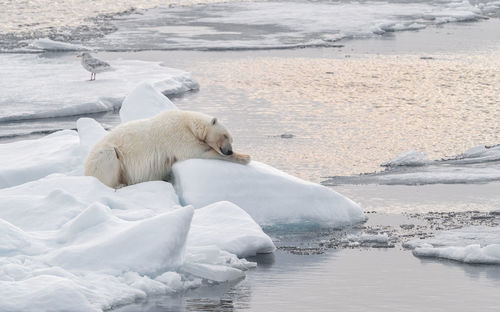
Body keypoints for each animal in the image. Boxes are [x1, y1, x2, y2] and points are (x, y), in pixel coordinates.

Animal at [85, 110, 252, 188]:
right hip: (105, 155)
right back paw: (119, 184)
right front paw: (245, 157)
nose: (229, 151)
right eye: (225, 136)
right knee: (108, 158)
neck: (188, 122)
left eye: (231, 139)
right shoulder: (176, 133)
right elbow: (195, 151)